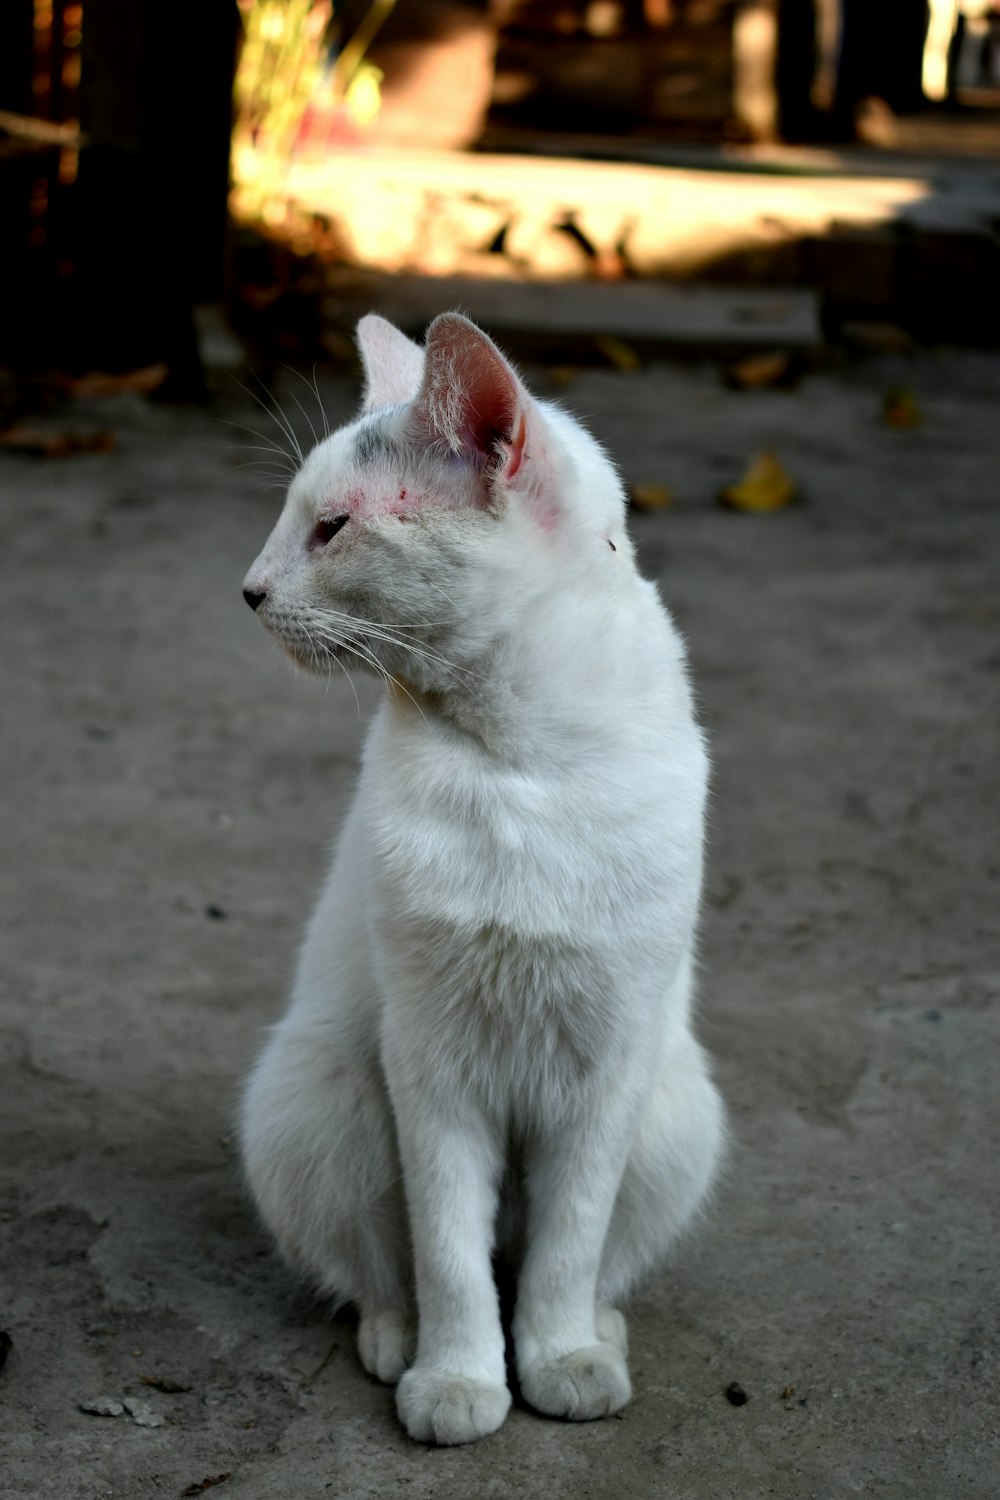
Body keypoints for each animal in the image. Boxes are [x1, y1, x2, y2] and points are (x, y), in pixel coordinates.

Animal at [242, 313, 728, 1440]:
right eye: (296, 522)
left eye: (331, 529)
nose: (249, 590)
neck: (517, 763)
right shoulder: (431, 1066)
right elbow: (452, 1257)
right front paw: (459, 1379)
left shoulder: (610, 1067)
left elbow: (564, 1251)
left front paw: (557, 1359)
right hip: (319, 1096)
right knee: (383, 1270)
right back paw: (395, 1342)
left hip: (675, 1113)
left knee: (580, 1260)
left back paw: (600, 1337)